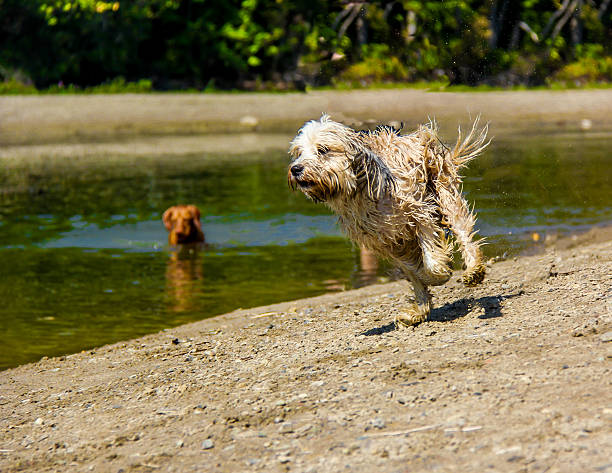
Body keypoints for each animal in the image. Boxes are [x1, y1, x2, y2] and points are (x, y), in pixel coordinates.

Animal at [290, 116, 490, 326]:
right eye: (298, 153)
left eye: (323, 150)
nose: (296, 169)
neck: (359, 191)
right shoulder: (388, 242)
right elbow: (412, 272)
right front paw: (420, 307)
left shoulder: (420, 213)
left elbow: (432, 263)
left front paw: (438, 272)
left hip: (443, 189)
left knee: (461, 228)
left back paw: (474, 270)